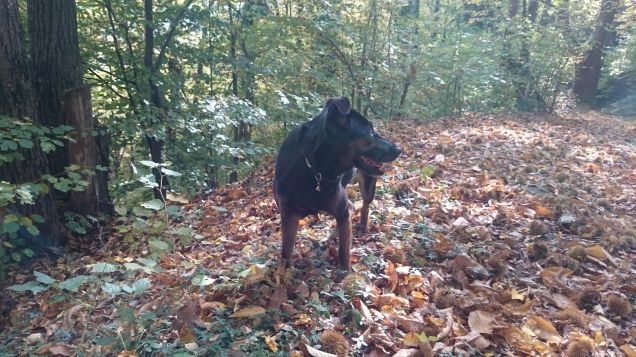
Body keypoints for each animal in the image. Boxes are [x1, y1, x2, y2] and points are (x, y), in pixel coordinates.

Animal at [272, 96, 400, 272]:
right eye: (369, 131)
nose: (399, 149)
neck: (315, 169)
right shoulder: (289, 216)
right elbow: (285, 253)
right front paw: (283, 275)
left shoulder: (341, 211)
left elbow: (344, 250)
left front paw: (345, 273)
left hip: (368, 183)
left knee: (365, 205)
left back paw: (362, 227)